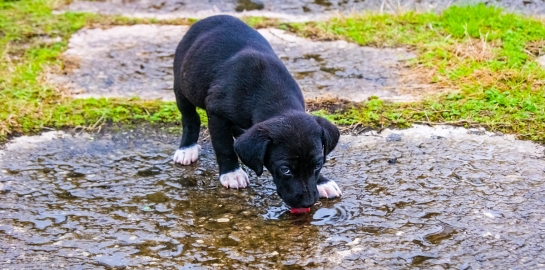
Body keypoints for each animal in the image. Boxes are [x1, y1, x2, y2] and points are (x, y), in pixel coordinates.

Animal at [172, 15, 340, 209]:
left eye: (317, 165)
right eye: (285, 169)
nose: (307, 203)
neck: (275, 97)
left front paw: (322, 181)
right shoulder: (216, 113)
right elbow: (223, 145)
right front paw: (232, 173)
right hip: (182, 86)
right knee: (190, 118)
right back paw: (187, 149)